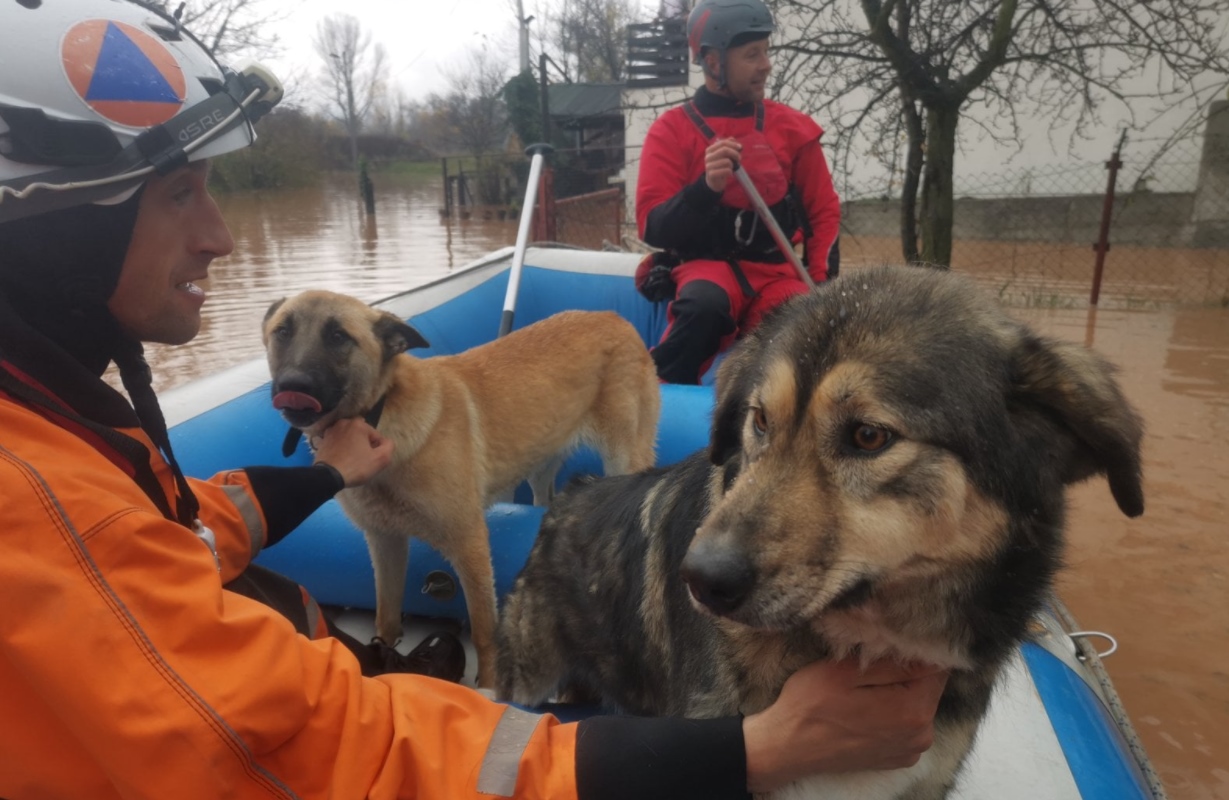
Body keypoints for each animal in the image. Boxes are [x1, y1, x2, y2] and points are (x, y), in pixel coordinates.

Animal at [263, 293, 658, 688]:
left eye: (338, 336)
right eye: (282, 332)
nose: (292, 385)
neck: (380, 413)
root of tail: (613, 316)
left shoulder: (469, 544)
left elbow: (484, 630)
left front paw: (490, 686)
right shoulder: (385, 541)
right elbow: (386, 615)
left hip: (622, 456)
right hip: (539, 462)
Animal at [494, 265, 1145, 796]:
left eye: (869, 436)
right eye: (760, 420)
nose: (700, 579)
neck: (871, 643)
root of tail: (568, 499)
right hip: (525, 680)